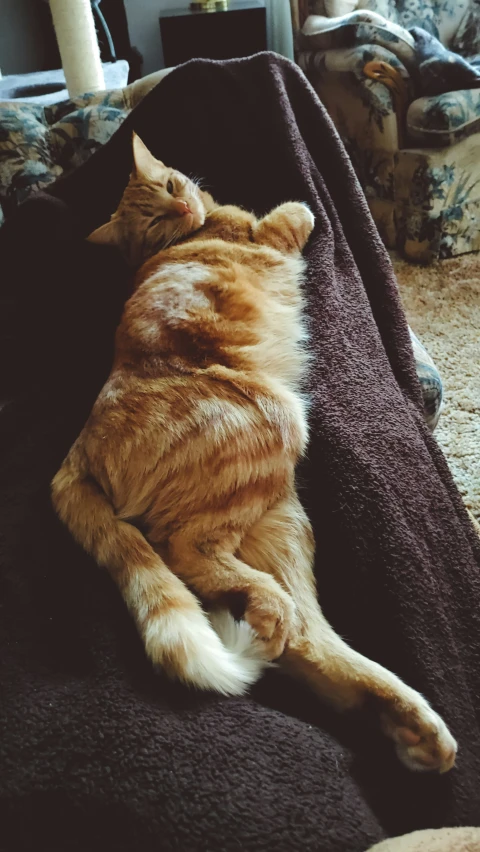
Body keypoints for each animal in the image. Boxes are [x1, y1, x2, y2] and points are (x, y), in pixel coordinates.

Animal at [50, 135, 456, 772]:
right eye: (155, 216)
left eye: (169, 189)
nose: (183, 208)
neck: (197, 229)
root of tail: (75, 451)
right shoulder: (270, 233)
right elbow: (291, 214)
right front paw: (303, 207)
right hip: (271, 428)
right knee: (184, 551)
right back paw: (274, 614)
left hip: (279, 519)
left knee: (308, 642)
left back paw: (412, 727)